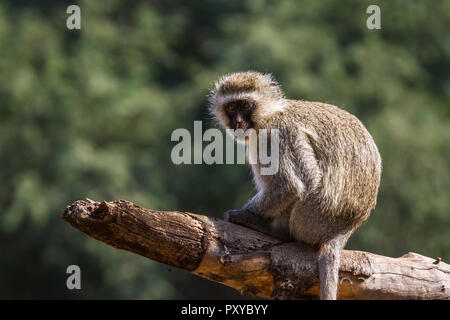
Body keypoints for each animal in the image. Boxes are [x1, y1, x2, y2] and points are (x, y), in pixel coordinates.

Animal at [207, 70, 380, 300]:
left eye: (245, 105)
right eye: (231, 107)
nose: (238, 122)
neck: (270, 114)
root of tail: (345, 228)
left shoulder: (275, 135)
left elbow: (292, 186)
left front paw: (241, 215)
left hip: (311, 219)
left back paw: (273, 230)